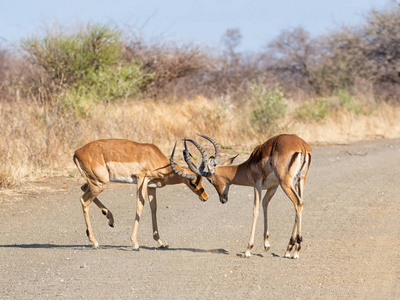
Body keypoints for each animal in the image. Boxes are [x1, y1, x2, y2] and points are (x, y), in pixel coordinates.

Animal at [73, 139, 208, 250]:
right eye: (192, 182)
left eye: (201, 179)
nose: (205, 197)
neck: (154, 157)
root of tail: (77, 152)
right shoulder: (141, 179)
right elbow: (140, 206)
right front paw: (135, 244)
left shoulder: (151, 186)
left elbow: (153, 208)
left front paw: (160, 243)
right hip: (100, 183)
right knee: (84, 200)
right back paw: (95, 242)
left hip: (96, 182)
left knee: (83, 188)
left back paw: (109, 219)